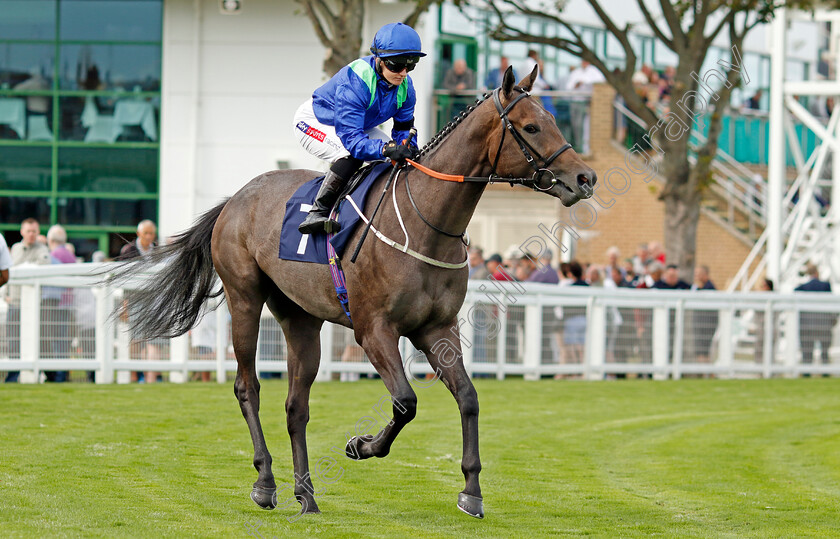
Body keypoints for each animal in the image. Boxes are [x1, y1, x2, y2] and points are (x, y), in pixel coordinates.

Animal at [116, 66, 596, 520]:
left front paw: (471, 492)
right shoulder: (374, 330)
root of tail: (234, 198)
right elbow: (405, 402)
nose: (585, 177)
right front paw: (361, 445)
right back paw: (266, 483)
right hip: (245, 298)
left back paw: (306, 496)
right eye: (531, 126)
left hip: (300, 317)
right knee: (247, 386)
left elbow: (469, 399)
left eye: (554, 119)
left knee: (296, 406)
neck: (426, 223)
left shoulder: (438, 329)